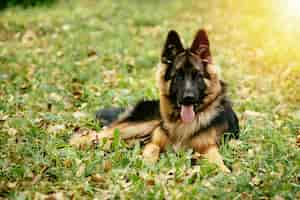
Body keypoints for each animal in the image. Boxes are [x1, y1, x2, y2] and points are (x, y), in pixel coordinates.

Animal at [69, 28, 239, 173]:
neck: (181, 125)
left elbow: (217, 160)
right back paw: (77, 142)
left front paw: (225, 172)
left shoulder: (208, 147)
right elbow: (151, 152)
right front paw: (146, 167)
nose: (188, 99)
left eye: (198, 76)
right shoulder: (154, 143)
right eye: (178, 76)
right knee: (96, 134)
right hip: (139, 126)